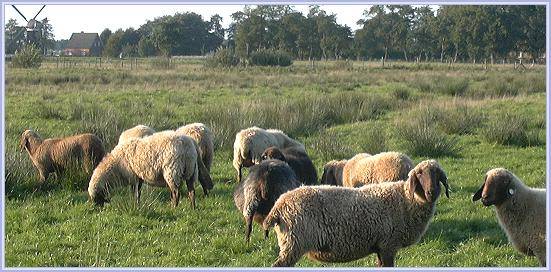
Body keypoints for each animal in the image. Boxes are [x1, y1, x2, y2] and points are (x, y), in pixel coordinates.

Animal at [262, 160, 448, 266]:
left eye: (438, 174)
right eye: (420, 173)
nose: (432, 192)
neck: (406, 201)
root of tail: (278, 206)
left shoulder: (380, 247)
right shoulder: (388, 245)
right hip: (294, 243)